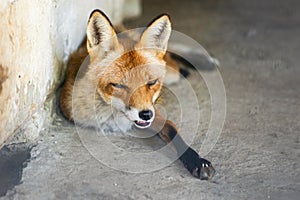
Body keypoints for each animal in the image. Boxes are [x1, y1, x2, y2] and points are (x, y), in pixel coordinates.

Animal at [59, 9, 214, 180]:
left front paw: (197, 161)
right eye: (119, 85)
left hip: (171, 73)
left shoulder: (156, 114)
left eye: (151, 82)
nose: (146, 114)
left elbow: (173, 131)